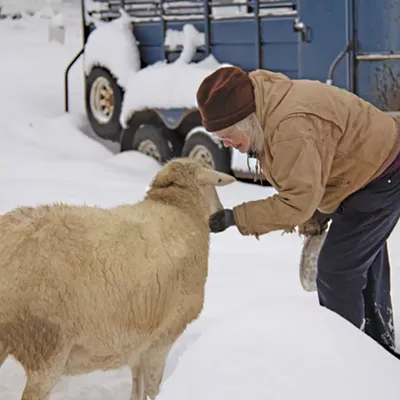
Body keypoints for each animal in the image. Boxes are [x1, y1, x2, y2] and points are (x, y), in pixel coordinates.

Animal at [0, 157, 236, 400]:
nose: (221, 213)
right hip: (46, 346)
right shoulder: (163, 337)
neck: (179, 208)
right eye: (213, 187)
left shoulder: (140, 338)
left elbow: (137, 384)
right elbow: (152, 388)